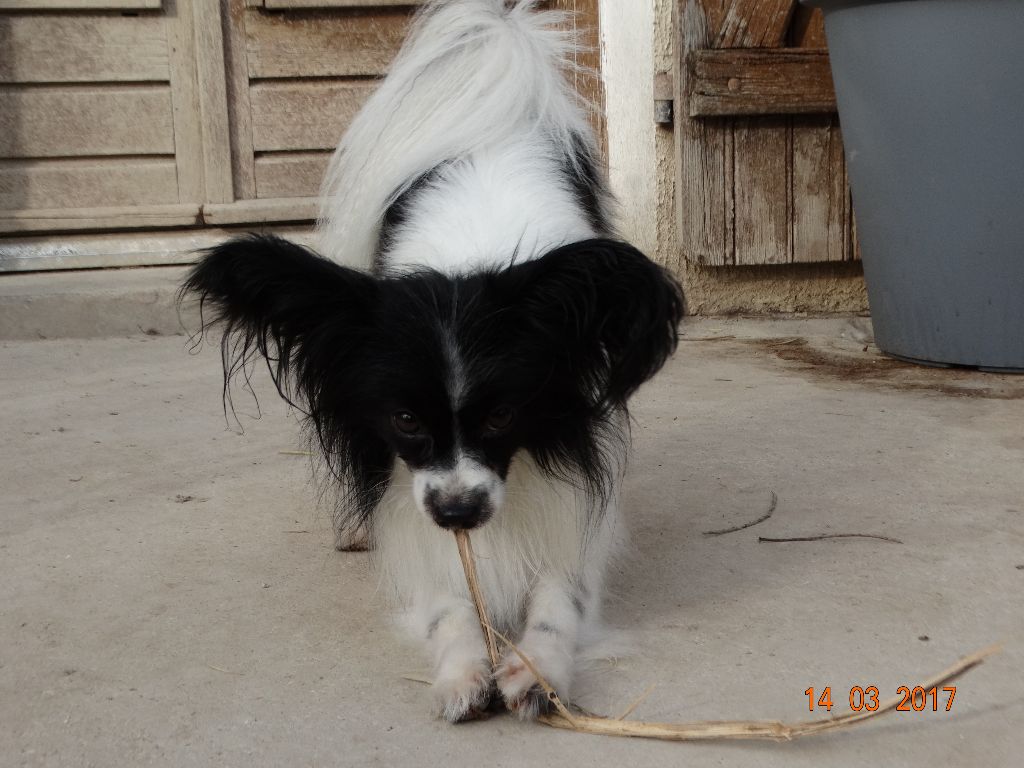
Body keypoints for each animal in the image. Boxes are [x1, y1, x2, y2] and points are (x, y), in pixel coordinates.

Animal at [180, 0, 683, 722]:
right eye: (405, 421)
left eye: (502, 416)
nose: (457, 514)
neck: (473, 250)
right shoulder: (410, 494)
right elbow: (445, 595)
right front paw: (463, 665)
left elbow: (560, 591)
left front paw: (536, 667)